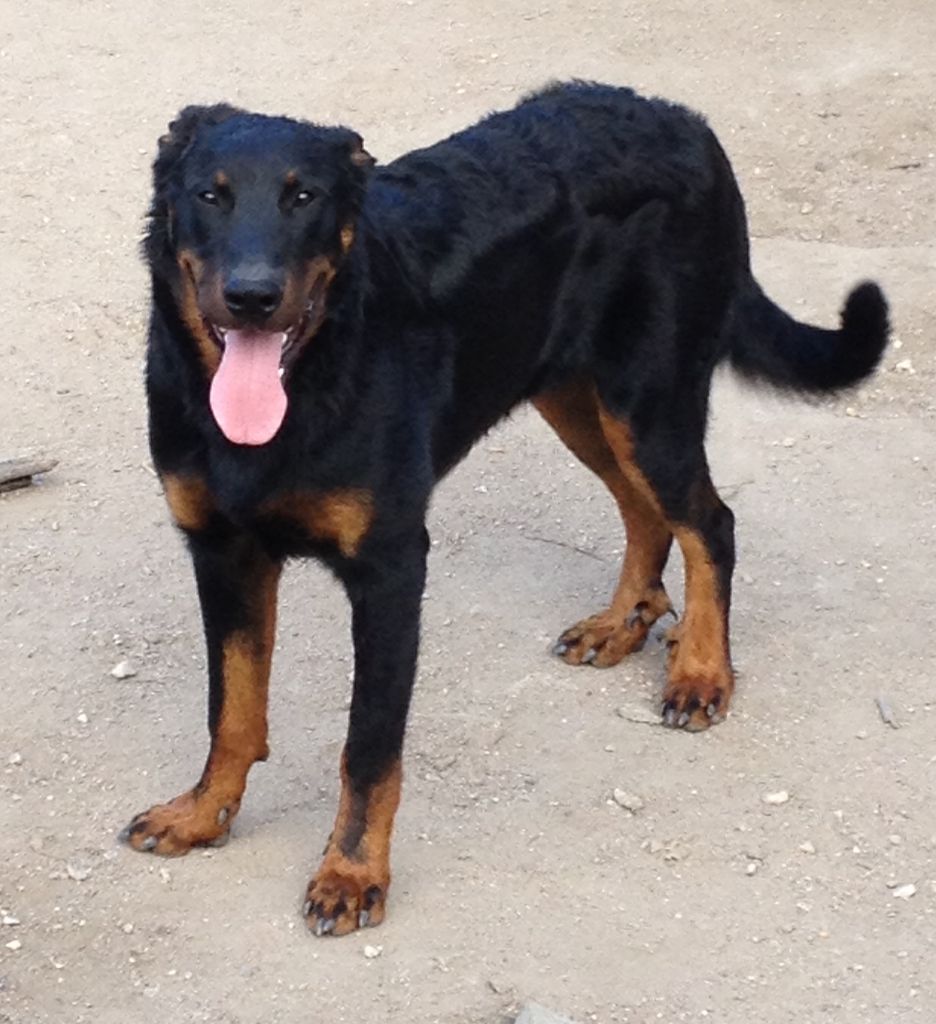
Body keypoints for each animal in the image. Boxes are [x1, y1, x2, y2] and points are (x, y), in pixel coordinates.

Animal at [121, 81, 889, 935]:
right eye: (209, 196)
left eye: (303, 197)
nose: (252, 298)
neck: (310, 377)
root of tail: (684, 119)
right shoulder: (222, 551)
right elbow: (231, 710)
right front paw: (202, 814)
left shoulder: (391, 568)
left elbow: (369, 746)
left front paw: (352, 873)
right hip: (573, 394)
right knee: (643, 511)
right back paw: (622, 623)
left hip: (647, 402)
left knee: (707, 523)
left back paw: (700, 672)